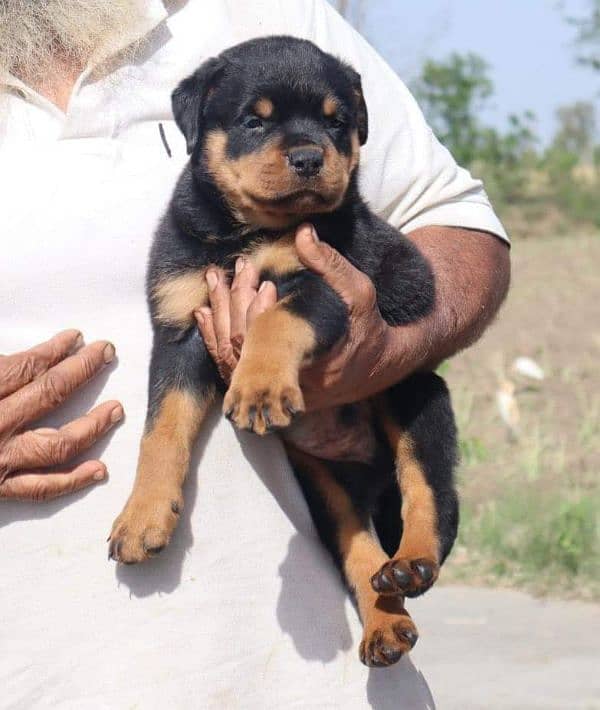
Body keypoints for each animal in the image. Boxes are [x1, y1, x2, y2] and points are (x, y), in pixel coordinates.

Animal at [108, 36, 458, 672]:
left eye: (337, 121)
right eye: (254, 120)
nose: (308, 158)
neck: (244, 234)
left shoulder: (327, 282)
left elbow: (275, 319)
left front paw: (259, 387)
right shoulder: (180, 326)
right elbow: (160, 430)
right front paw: (142, 516)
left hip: (416, 391)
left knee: (429, 491)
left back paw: (413, 562)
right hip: (321, 483)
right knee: (356, 545)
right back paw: (384, 627)